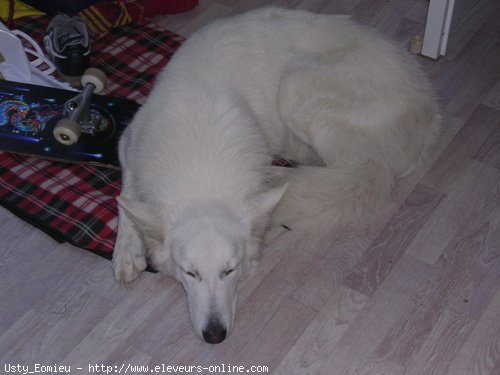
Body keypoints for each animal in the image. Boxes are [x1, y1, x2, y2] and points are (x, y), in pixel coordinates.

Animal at [113, 7, 442, 346]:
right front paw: (126, 252)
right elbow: (125, 195)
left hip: (298, 84)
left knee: (362, 173)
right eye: (189, 273)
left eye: (230, 271)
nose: (215, 336)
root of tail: (430, 112)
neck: (199, 158)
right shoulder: (128, 139)